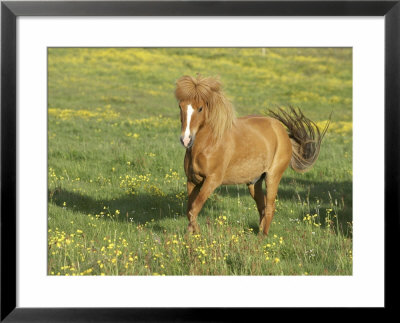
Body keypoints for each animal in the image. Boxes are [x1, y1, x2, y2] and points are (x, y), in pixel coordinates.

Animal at [176, 75, 332, 235]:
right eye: (180, 106)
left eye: (200, 108)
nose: (185, 139)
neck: (208, 144)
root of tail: (282, 132)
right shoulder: (192, 181)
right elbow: (190, 210)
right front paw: (191, 235)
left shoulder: (212, 180)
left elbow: (194, 209)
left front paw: (196, 234)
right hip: (254, 182)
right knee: (262, 207)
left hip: (272, 177)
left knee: (269, 207)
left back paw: (262, 237)